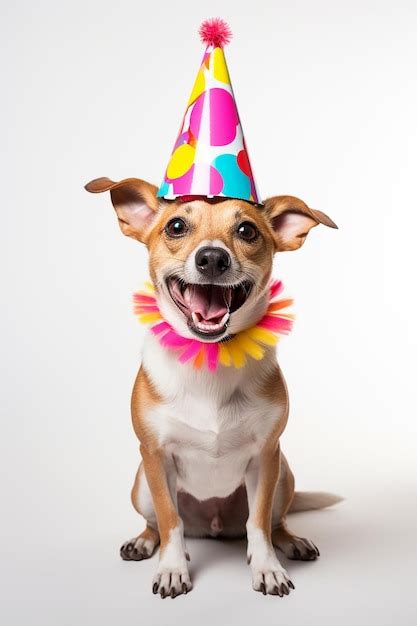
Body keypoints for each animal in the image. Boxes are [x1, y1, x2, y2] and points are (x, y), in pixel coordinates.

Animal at [83, 174, 338, 596]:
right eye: (176, 226)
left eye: (247, 230)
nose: (213, 258)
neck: (211, 358)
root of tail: (214, 525)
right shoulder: (155, 456)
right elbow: (170, 521)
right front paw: (172, 569)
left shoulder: (266, 457)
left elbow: (258, 524)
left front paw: (268, 568)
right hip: (141, 484)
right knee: (158, 523)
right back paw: (144, 542)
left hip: (284, 475)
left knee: (275, 521)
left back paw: (292, 541)